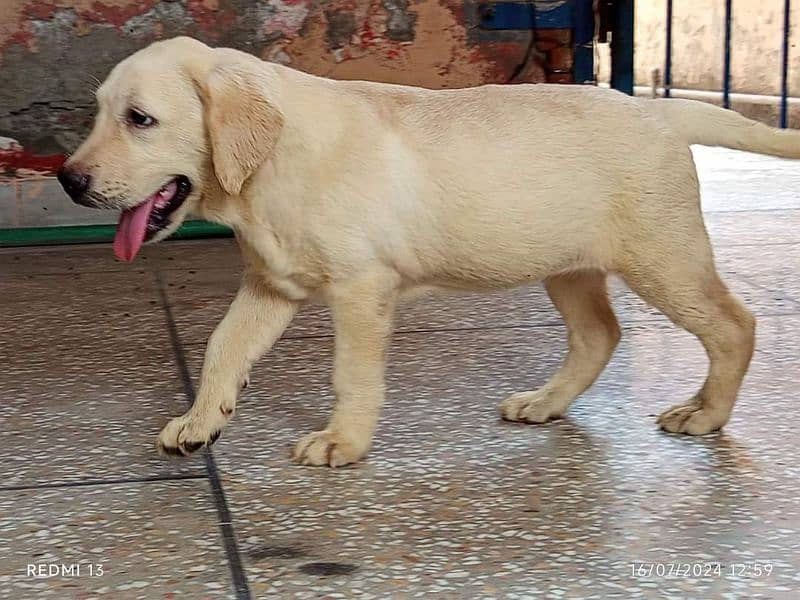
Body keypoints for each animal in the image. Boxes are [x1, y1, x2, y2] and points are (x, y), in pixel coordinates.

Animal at [59, 37, 796, 468]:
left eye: (140, 120)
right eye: (99, 113)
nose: (68, 180)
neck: (269, 168)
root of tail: (659, 112)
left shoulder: (361, 288)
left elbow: (351, 375)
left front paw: (342, 442)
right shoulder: (272, 285)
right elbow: (222, 347)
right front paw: (199, 421)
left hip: (663, 257)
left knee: (734, 325)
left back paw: (706, 414)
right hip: (566, 264)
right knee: (599, 335)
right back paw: (545, 403)